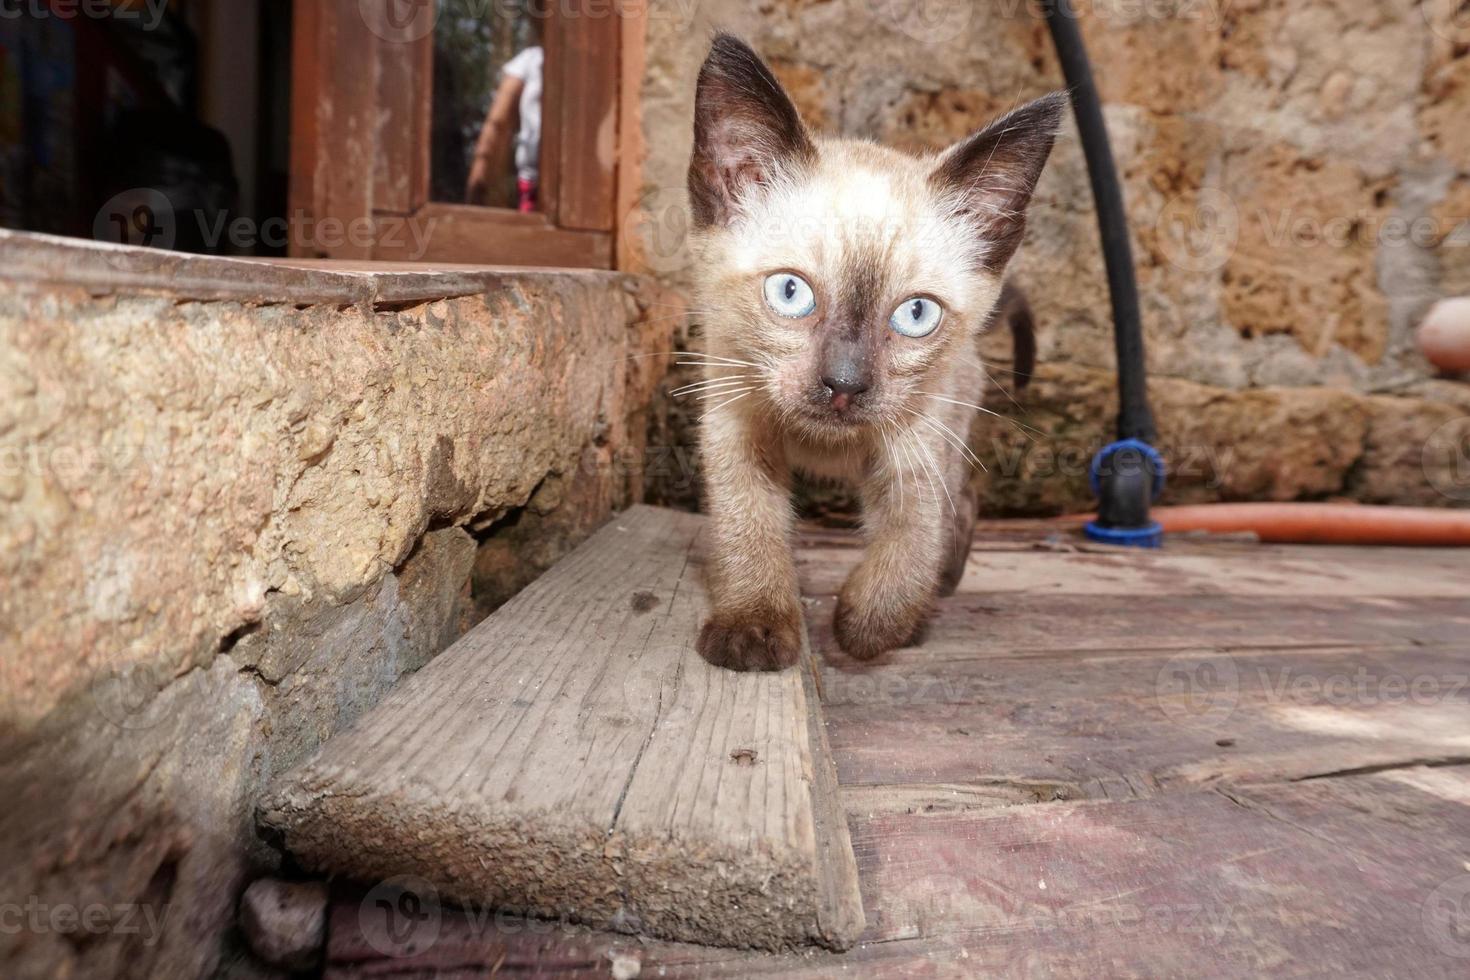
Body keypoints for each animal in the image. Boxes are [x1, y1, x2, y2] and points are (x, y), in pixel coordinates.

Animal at [682, 34, 1064, 669]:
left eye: (916, 315)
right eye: (790, 293)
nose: (843, 384)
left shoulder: (914, 455)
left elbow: (906, 554)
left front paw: (870, 629)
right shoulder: (737, 426)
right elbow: (749, 530)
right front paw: (753, 629)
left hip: (951, 427)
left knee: (962, 499)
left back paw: (941, 590)